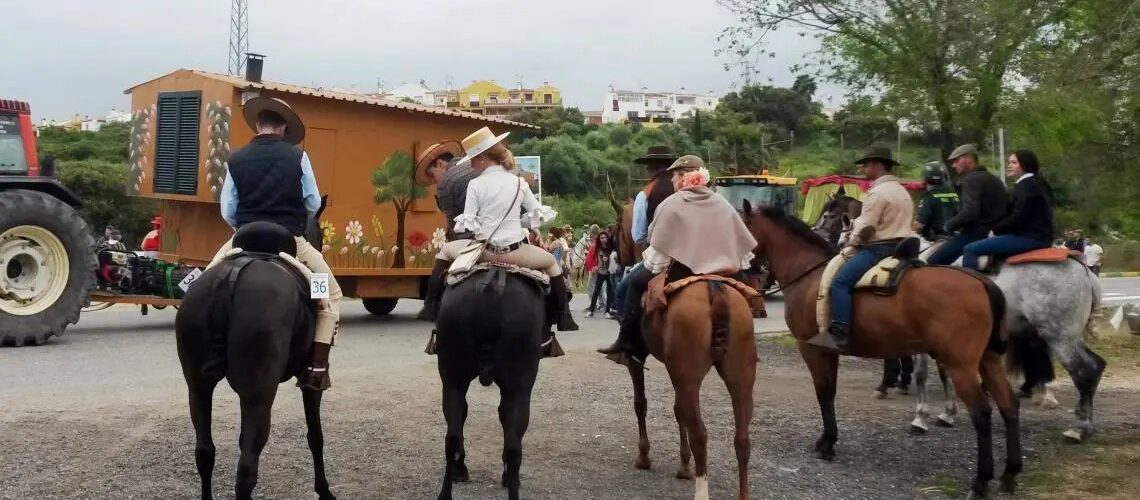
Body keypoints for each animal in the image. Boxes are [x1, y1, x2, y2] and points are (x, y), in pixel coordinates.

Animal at [175, 215, 335, 500]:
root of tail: (231, 277)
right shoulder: (310, 385)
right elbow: (315, 436)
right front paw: (324, 490)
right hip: (258, 396)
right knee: (246, 468)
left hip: (198, 388)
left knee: (204, 452)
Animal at [742, 202, 1021, 498]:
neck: (809, 273)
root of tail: (983, 282)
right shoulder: (828, 351)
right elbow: (830, 392)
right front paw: (830, 439)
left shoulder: (812, 348)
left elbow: (823, 393)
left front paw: (827, 443)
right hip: (989, 361)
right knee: (1008, 404)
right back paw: (1010, 473)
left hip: (962, 366)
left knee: (982, 413)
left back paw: (981, 480)